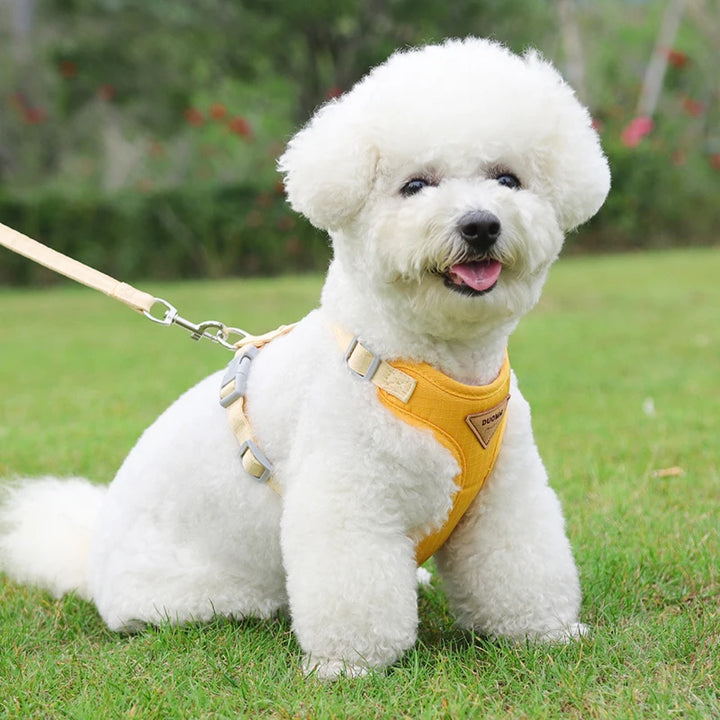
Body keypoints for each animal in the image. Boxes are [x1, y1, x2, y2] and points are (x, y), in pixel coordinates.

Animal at [1, 38, 608, 680]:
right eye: (415, 185)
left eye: (507, 179)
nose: (480, 225)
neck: (419, 367)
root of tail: (90, 561)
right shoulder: (347, 497)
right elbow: (354, 583)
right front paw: (348, 665)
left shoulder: (504, 495)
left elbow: (520, 561)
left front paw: (545, 632)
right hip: (202, 595)